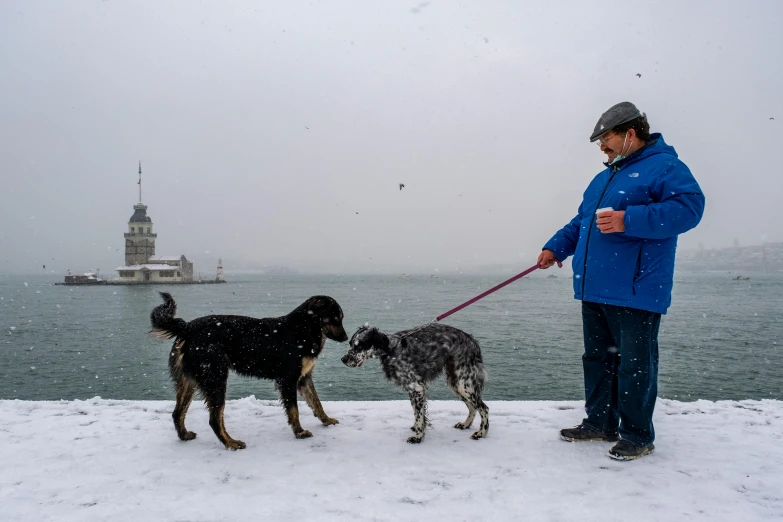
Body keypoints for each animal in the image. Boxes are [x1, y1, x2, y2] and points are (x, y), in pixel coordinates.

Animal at [152, 292, 348, 446]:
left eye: (340, 318)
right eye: (335, 318)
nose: (346, 338)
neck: (303, 328)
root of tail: (187, 327)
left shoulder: (304, 379)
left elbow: (316, 402)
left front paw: (326, 420)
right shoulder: (289, 380)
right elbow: (294, 410)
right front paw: (299, 432)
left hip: (189, 381)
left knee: (177, 413)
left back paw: (185, 435)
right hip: (215, 378)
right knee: (214, 418)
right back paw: (231, 443)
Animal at [340, 322, 486, 440]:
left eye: (359, 346)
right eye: (351, 344)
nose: (343, 359)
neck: (391, 350)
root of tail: (472, 341)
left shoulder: (417, 388)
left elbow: (419, 414)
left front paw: (418, 437)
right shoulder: (412, 389)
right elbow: (416, 411)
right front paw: (416, 428)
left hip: (463, 384)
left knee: (483, 408)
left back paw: (481, 433)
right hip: (456, 383)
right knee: (473, 407)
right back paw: (465, 425)